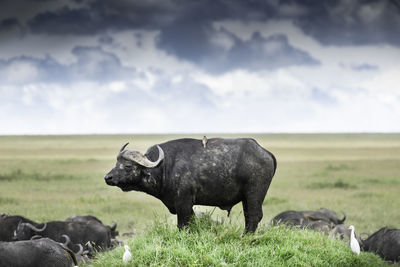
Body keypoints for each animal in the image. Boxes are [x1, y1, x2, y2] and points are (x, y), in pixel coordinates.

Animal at [104, 139, 276, 233]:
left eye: (128, 166)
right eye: (116, 163)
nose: (107, 177)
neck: (166, 166)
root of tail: (265, 152)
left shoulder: (183, 202)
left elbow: (183, 224)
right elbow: (192, 222)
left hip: (254, 194)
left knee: (254, 216)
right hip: (246, 198)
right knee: (249, 217)